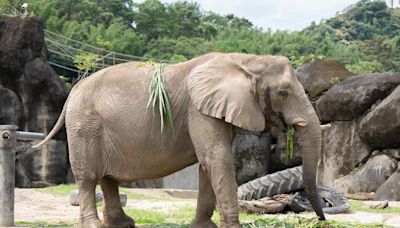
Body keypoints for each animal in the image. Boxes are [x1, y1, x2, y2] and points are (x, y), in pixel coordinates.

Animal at [35, 52, 324, 227]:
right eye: (284, 92)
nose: (321, 219)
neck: (244, 60)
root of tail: (71, 93)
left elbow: (208, 164)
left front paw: (204, 227)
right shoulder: (199, 110)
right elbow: (216, 158)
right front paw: (231, 227)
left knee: (108, 179)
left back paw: (123, 224)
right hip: (84, 126)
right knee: (88, 178)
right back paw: (96, 224)